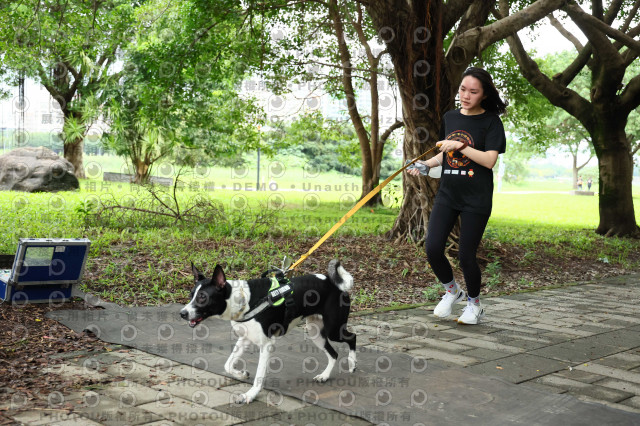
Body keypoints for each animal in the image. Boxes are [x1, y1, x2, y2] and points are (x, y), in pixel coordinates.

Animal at [180, 260, 358, 402]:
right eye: (191, 295)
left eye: (202, 297)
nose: (182, 313)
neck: (244, 300)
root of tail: (335, 284)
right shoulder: (244, 339)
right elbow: (228, 365)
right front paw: (241, 374)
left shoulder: (266, 345)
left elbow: (259, 375)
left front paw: (250, 395)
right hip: (316, 332)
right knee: (333, 353)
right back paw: (325, 375)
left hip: (334, 329)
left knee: (352, 337)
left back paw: (352, 363)